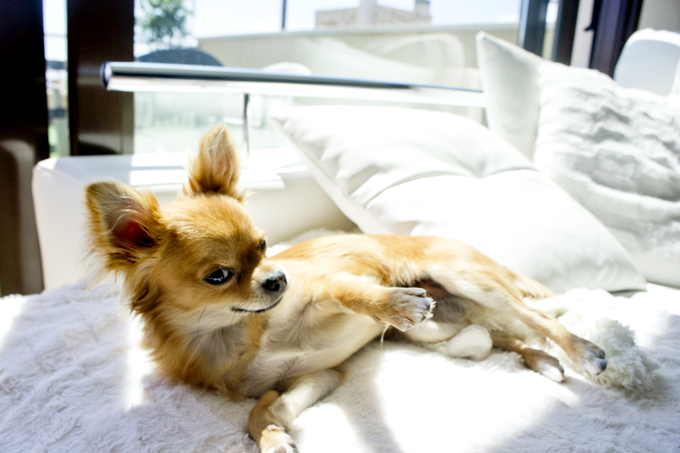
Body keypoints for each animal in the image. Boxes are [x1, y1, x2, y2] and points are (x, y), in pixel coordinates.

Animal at [86, 125, 607, 453]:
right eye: (219, 276)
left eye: (264, 246)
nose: (278, 279)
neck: (234, 331)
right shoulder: (315, 378)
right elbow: (260, 412)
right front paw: (274, 438)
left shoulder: (325, 286)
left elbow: (357, 293)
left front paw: (394, 302)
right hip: (434, 329)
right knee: (496, 336)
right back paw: (536, 359)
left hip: (465, 278)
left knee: (534, 317)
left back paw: (580, 352)